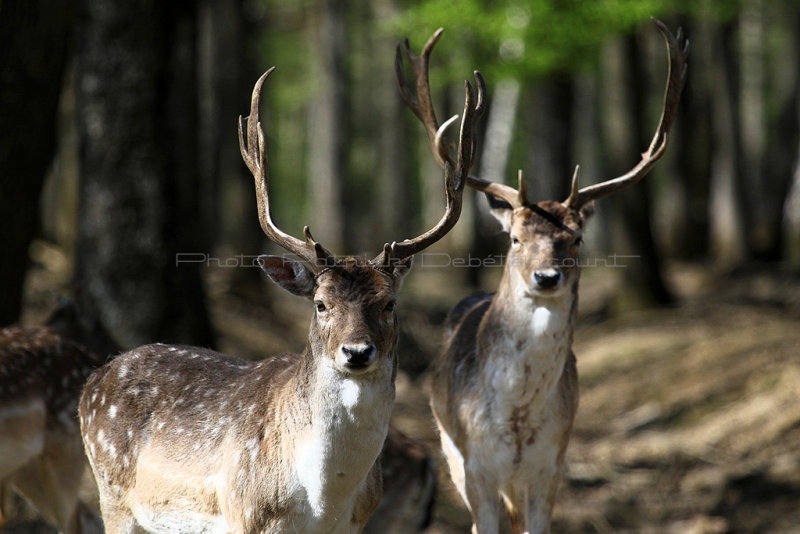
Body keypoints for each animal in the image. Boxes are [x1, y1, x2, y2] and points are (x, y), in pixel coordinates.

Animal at [78, 35, 484, 532]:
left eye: (389, 303)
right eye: (321, 303)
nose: (357, 351)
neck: (324, 499)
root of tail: (94, 379)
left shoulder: (360, 521)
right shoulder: (245, 512)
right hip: (113, 494)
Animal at [396, 18, 692, 532]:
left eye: (576, 238)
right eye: (515, 238)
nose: (547, 277)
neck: (517, 422)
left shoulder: (551, 465)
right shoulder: (476, 468)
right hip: (450, 455)